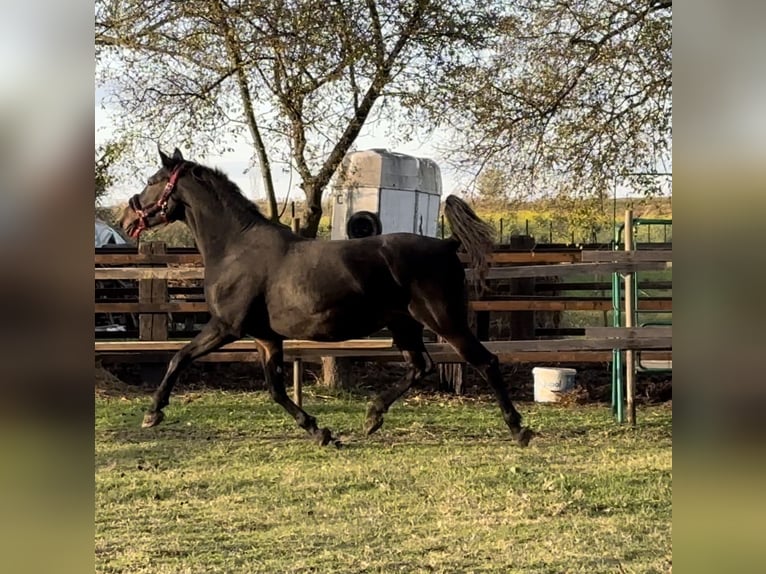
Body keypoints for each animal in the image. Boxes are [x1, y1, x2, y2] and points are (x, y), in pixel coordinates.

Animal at [123, 148, 536, 450]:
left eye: (152, 181)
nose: (129, 217)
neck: (235, 248)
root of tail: (447, 244)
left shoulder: (226, 328)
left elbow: (178, 358)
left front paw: (152, 414)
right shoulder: (266, 338)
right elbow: (275, 390)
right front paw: (321, 432)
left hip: (444, 320)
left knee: (485, 362)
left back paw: (519, 430)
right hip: (404, 324)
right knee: (420, 366)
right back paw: (372, 418)